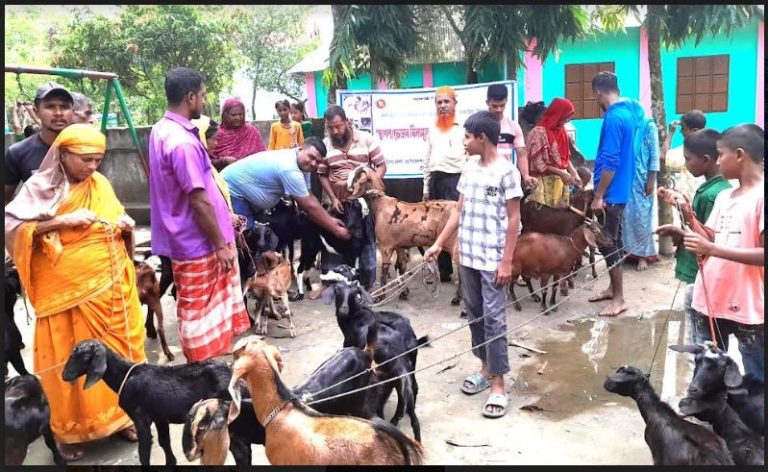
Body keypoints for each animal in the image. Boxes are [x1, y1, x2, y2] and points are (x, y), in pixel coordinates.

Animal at [63, 340, 234, 464]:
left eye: (83, 357)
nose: (64, 375)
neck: (125, 376)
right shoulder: (160, 417)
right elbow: (164, 441)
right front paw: (171, 463)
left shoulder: (140, 418)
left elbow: (144, 451)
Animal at [346, 166, 460, 304]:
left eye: (356, 177)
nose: (346, 187)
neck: (381, 205)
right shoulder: (399, 246)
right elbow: (401, 267)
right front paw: (403, 293)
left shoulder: (385, 247)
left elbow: (384, 271)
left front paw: (380, 297)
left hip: (454, 243)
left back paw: (458, 300)